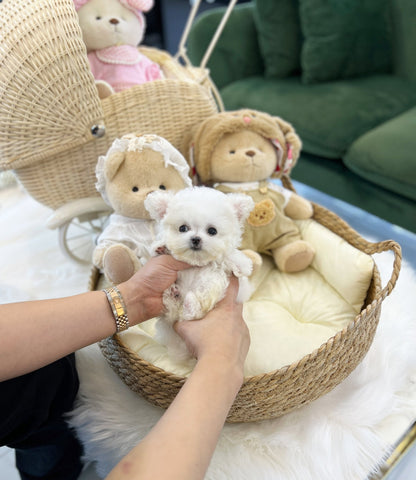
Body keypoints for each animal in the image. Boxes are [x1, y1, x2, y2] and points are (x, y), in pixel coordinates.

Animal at [145, 186, 255, 358]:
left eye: (212, 231)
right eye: (183, 228)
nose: (195, 239)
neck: (196, 262)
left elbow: (229, 258)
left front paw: (240, 264)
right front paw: (160, 248)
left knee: (191, 314)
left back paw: (189, 302)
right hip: (171, 317)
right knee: (174, 312)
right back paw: (175, 296)